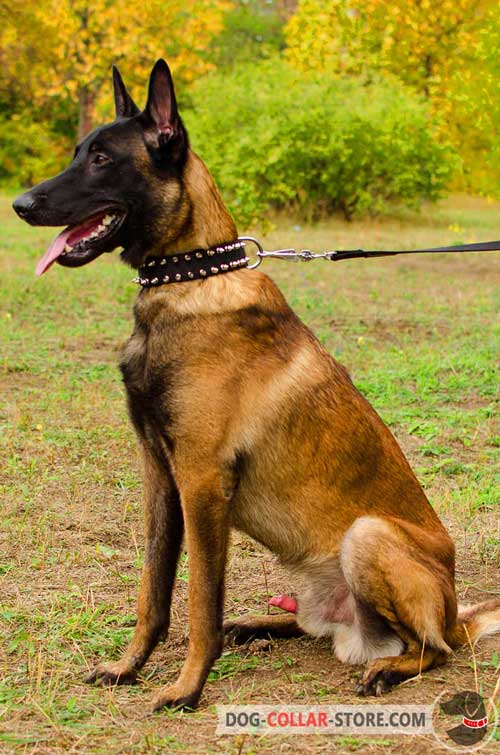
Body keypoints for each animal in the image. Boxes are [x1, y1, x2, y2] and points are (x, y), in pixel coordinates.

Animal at [12, 60, 500, 716]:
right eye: (77, 153)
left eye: (102, 160)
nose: (20, 204)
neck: (189, 279)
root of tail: (456, 615)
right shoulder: (159, 477)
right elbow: (152, 593)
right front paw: (128, 667)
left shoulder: (200, 482)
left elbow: (199, 602)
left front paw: (187, 688)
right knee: (314, 626)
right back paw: (259, 626)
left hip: (369, 536)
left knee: (434, 650)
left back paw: (388, 669)